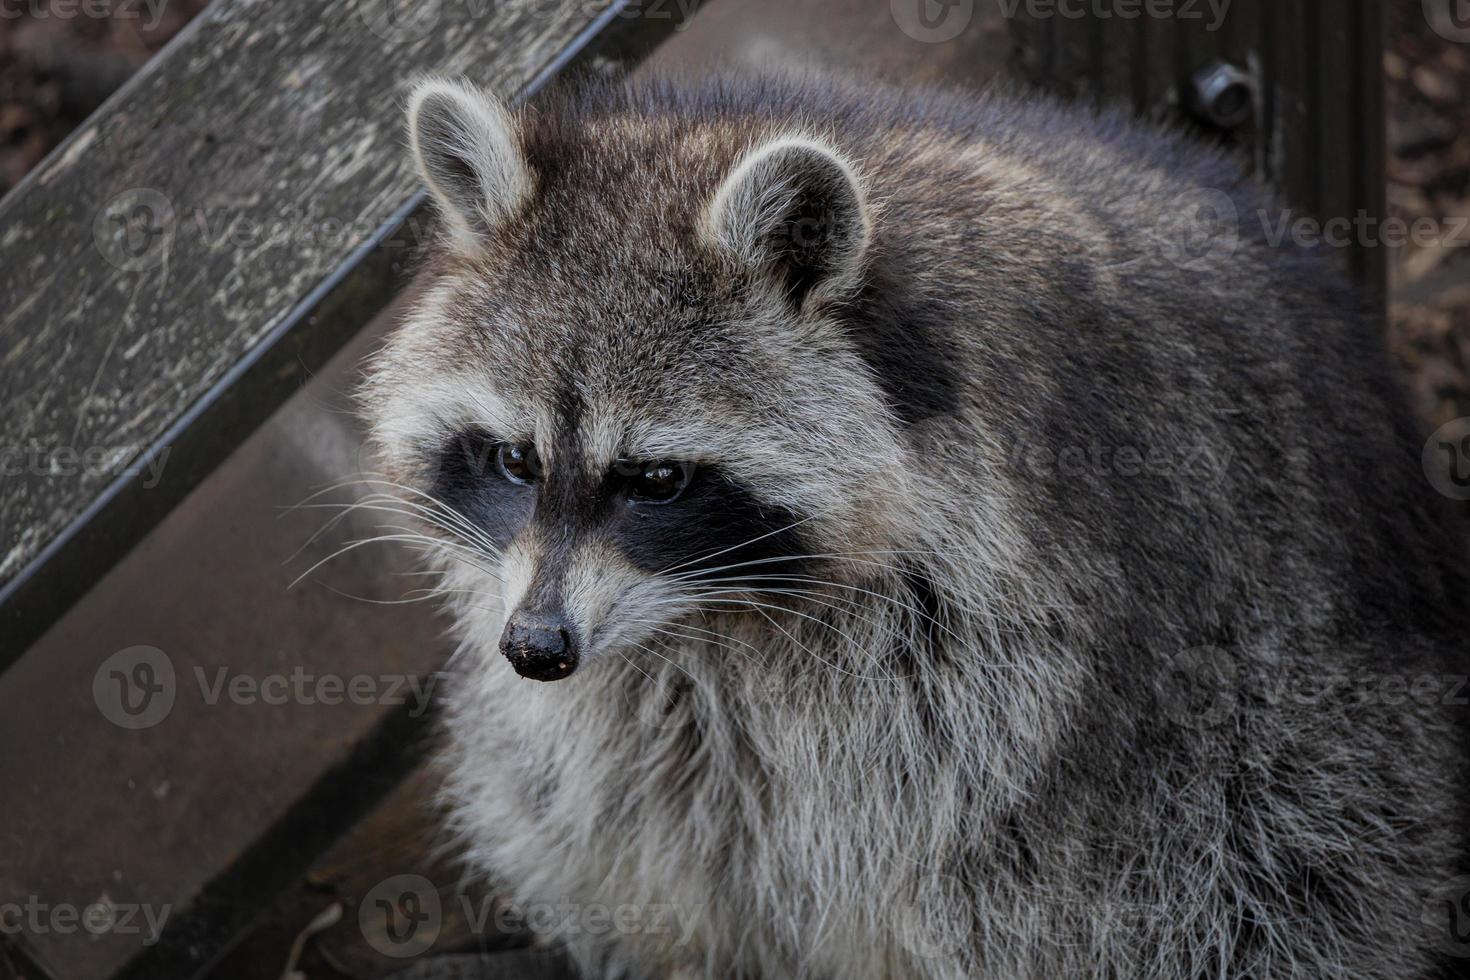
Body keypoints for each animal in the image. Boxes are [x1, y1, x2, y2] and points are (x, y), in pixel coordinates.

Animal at [361, 72, 1470, 975]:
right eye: (513, 459)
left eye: (657, 479)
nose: (537, 647)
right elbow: (644, 801)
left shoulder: (992, 646)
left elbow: (943, 850)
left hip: (1289, 759)